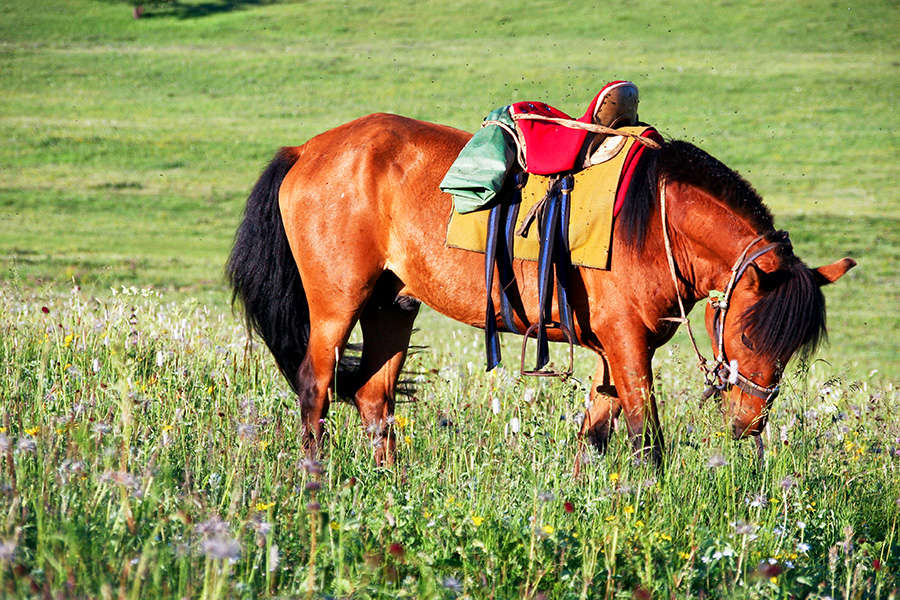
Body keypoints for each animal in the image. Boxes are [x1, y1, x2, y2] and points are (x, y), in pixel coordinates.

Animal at [227, 113, 856, 468]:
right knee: (316, 389)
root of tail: (307, 150)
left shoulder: (615, 352)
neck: (655, 222)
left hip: (391, 306)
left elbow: (594, 437)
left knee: (373, 399)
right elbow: (645, 440)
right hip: (337, 306)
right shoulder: (628, 346)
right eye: (748, 335)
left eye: (790, 350)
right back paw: (316, 485)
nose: (750, 422)